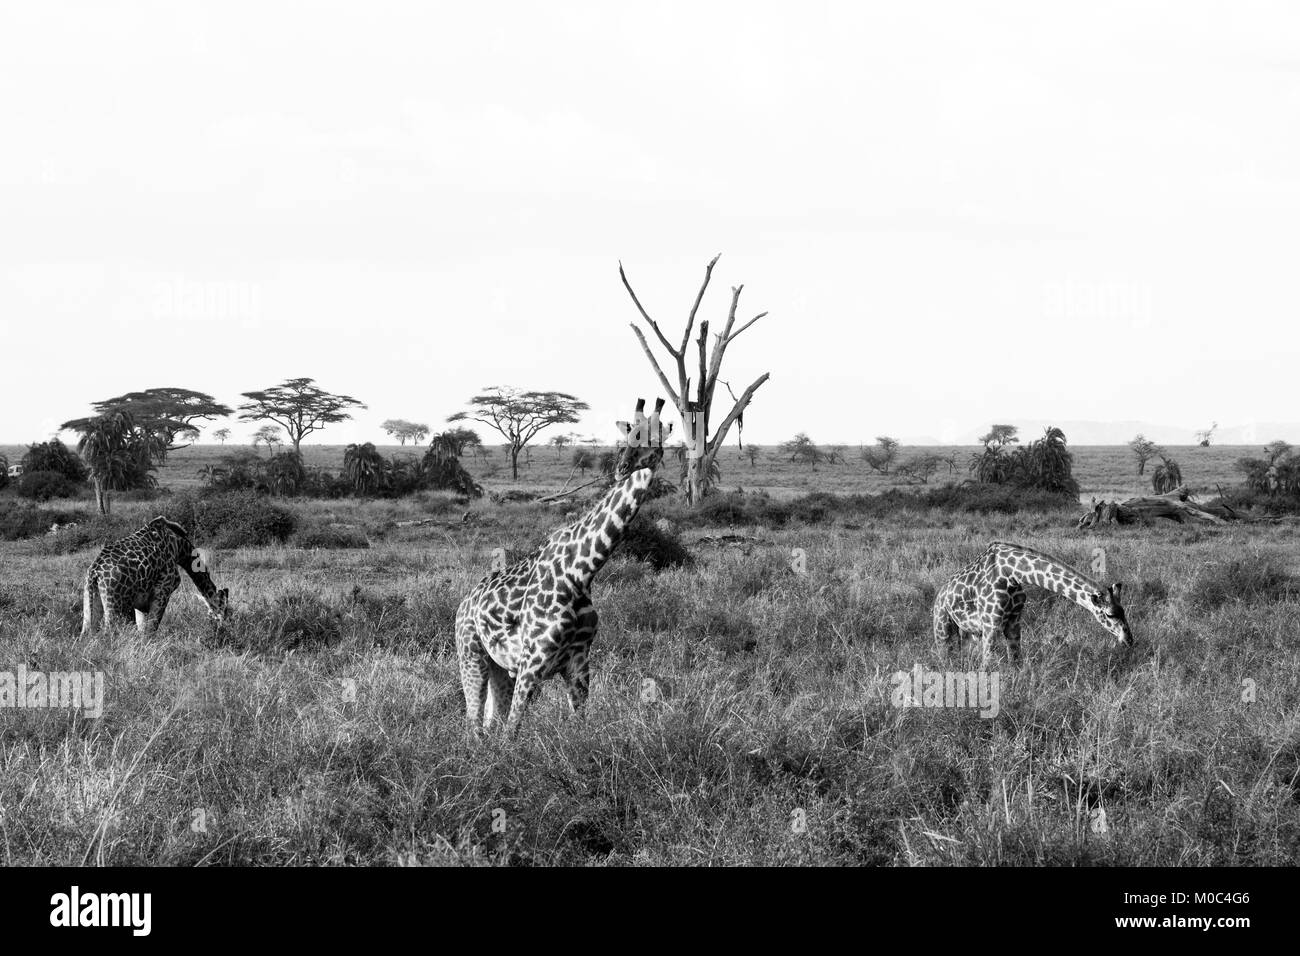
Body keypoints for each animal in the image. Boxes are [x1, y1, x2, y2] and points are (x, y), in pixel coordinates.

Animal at [81, 515, 228, 634]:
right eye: (224, 609)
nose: (223, 629)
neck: (180, 548)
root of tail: (95, 572)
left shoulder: (140, 602)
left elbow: (142, 630)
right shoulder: (163, 590)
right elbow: (151, 630)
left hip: (90, 599)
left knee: (87, 633)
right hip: (115, 605)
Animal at [454, 400, 670, 738]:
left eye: (655, 438)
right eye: (627, 437)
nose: (622, 468)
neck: (581, 571)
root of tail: (464, 604)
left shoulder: (578, 664)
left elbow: (579, 728)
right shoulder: (531, 664)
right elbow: (511, 735)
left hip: (498, 667)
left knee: (489, 722)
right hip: (471, 654)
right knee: (474, 725)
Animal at [930, 541, 1133, 671]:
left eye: (1123, 611)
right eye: (1111, 614)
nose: (1129, 640)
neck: (1012, 573)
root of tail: (939, 596)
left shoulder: (1013, 622)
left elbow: (1015, 663)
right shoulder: (991, 624)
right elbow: (986, 666)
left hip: (970, 633)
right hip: (943, 629)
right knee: (944, 660)